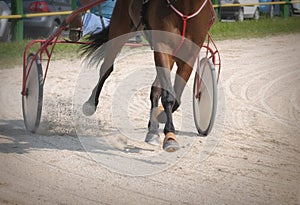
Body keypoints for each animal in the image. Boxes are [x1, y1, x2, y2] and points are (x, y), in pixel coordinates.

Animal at [80, 0, 216, 152]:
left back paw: (153, 130)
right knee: (107, 68)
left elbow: (176, 98)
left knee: (155, 88)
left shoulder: (189, 56)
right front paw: (170, 135)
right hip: (119, 31)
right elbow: (169, 97)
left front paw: (160, 119)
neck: (186, 8)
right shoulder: (162, 47)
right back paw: (90, 104)